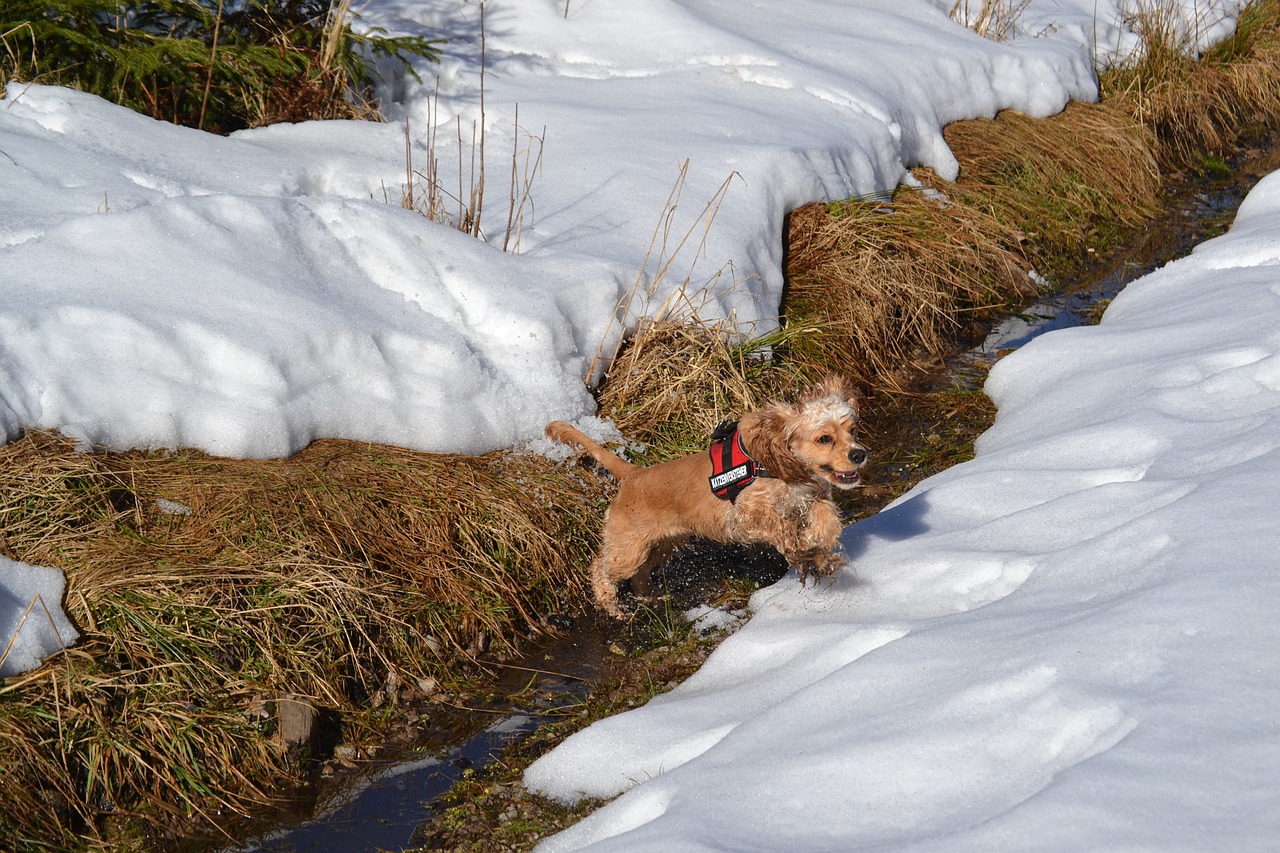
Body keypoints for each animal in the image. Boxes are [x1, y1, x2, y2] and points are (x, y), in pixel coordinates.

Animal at [545, 376, 865, 614]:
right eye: (824, 438)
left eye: (852, 430)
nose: (859, 454)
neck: (773, 464)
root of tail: (633, 474)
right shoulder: (747, 514)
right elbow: (782, 528)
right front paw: (803, 548)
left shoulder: (813, 495)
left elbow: (827, 519)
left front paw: (819, 548)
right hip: (628, 550)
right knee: (599, 568)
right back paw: (611, 607)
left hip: (660, 545)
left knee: (640, 576)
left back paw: (651, 599)